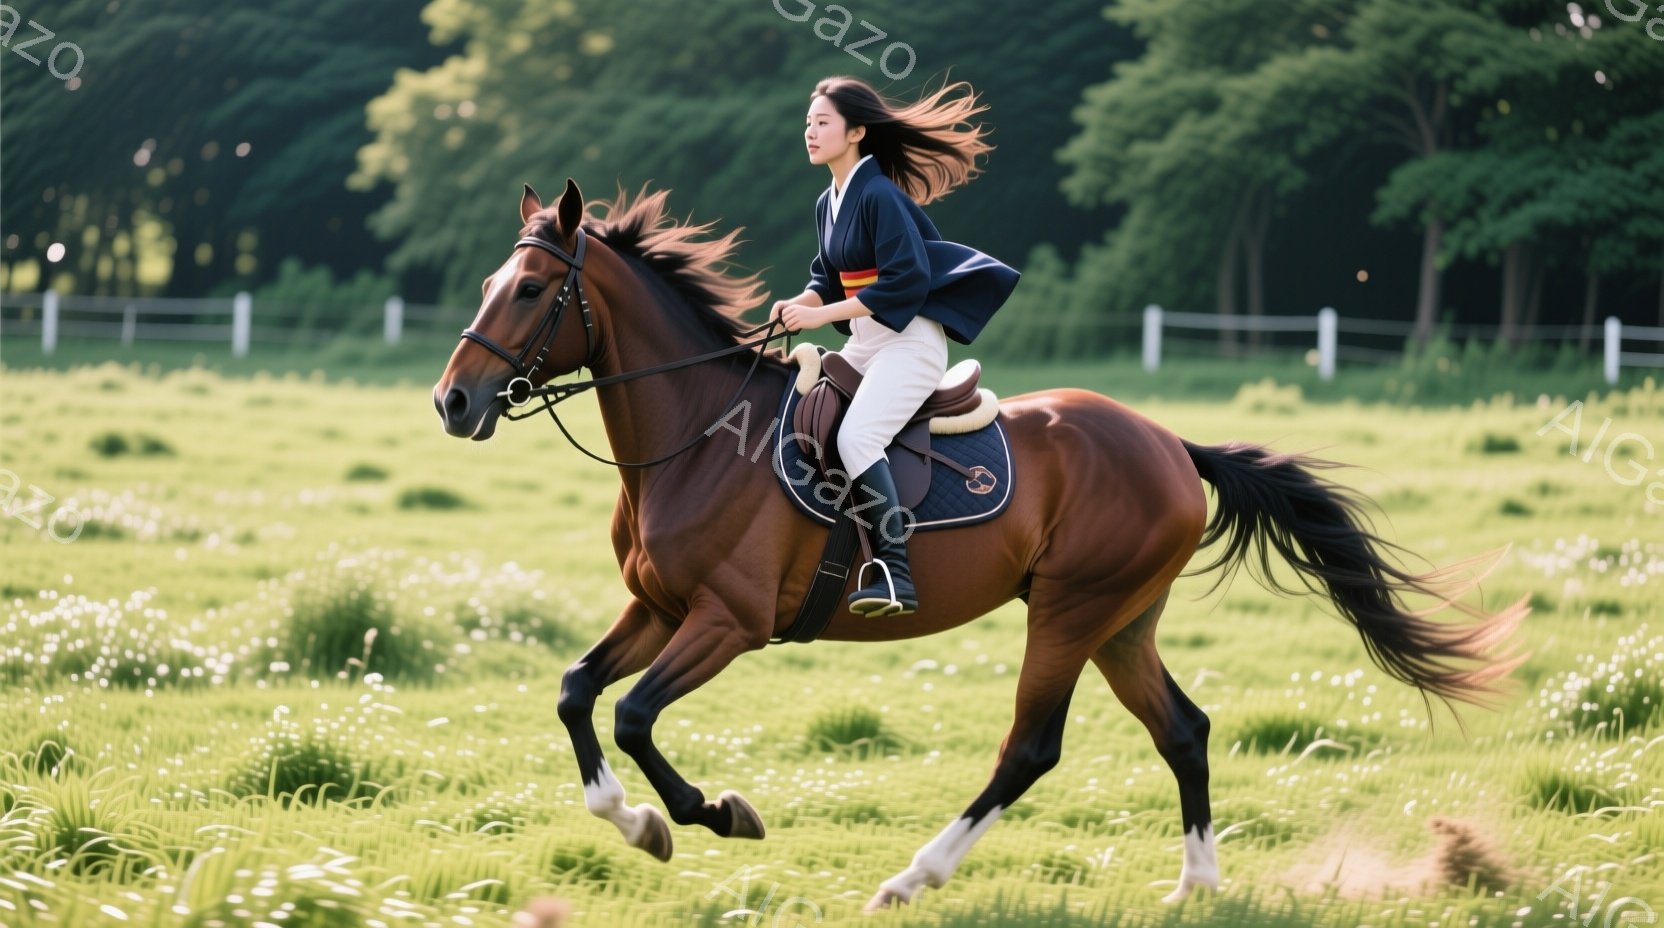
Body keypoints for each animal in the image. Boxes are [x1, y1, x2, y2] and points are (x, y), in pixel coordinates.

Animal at [432, 178, 1526, 911]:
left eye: (528, 290)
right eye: (489, 281)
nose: (452, 403)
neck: (694, 434)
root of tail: (1170, 443)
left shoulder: (726, 622)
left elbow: (632, 715)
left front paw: (712, 811)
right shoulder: (658, 605)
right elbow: (577, 693)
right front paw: (639, 823)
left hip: (1071, 611)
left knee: (1029, 749)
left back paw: (912, 878)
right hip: (1122, 621)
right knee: (1183, 730)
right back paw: (1195, 886)